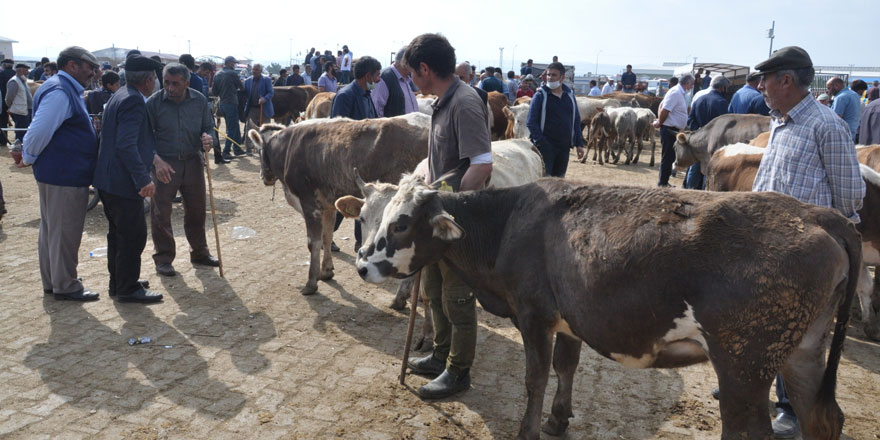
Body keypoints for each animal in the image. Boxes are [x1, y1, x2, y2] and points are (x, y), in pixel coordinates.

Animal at [246, 111, 432, 296]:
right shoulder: (329, 205)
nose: (264, 177)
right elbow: (327, 236)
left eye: (259, 150)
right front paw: (326, 271)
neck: (289, 148)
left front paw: (311, 282)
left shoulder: (309, 205)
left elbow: (313, 243)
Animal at [352, 174, 860, 440]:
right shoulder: (568, 320)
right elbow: (566, 367)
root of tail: (817, 214)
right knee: (823, 417)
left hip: (744, 366)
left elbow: (536, 378)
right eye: (370, 218)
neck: (511, 222)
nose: (361, 265)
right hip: (802, 352)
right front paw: (558, 420)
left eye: (400, 224)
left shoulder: (534, 316)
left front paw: (529, 429)